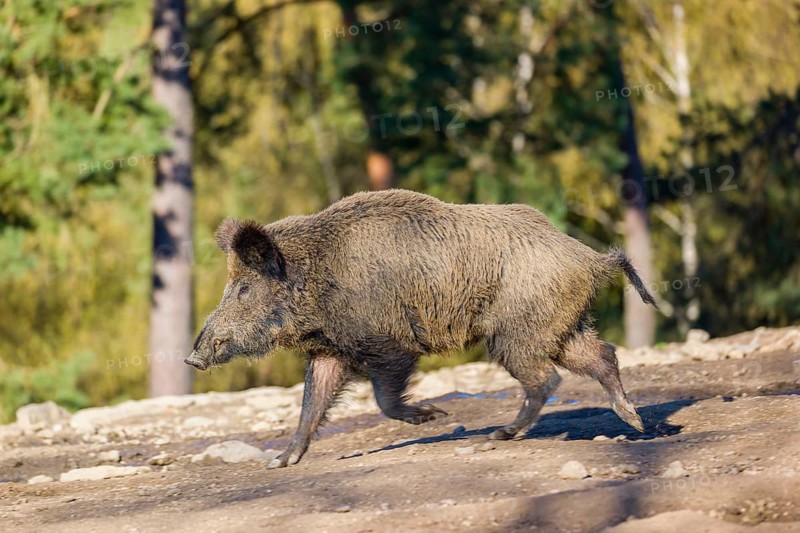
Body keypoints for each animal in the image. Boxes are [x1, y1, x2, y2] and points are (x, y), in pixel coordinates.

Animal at [186, 189, 656, 468]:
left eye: (244, 287)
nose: (192, 356)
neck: (319, 275)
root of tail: (592, 259)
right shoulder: (332, 351)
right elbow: (311, 403)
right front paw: (281, 462)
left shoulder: (390, 345)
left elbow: (384, 399)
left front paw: (434, 417)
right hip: (559, 328)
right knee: (602, 356)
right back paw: (634, 424)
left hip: (514, 334)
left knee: (546, 379)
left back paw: (501, 434)